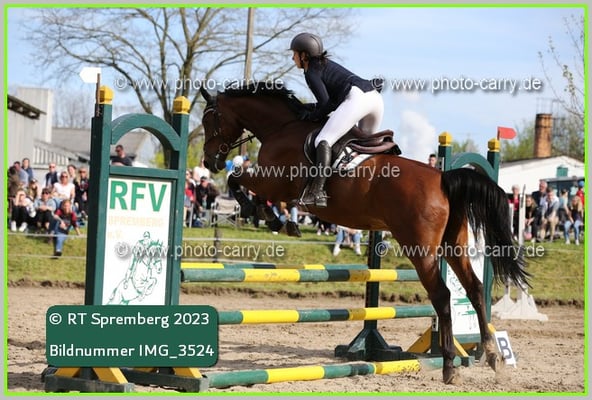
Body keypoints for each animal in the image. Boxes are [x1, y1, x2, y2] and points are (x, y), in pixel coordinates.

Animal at [199, 83, 529, 384]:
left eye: (209, 119)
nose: (209, 161)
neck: (281, 128)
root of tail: (444, 177)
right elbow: (248, 187)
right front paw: (279, 221)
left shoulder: (273, 182)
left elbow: (238, 180)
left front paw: (266, 216)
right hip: (453, 245)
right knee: (474, 288)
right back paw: (492, 354)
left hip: (420, 250)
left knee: (442, 295)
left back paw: (449, 364)